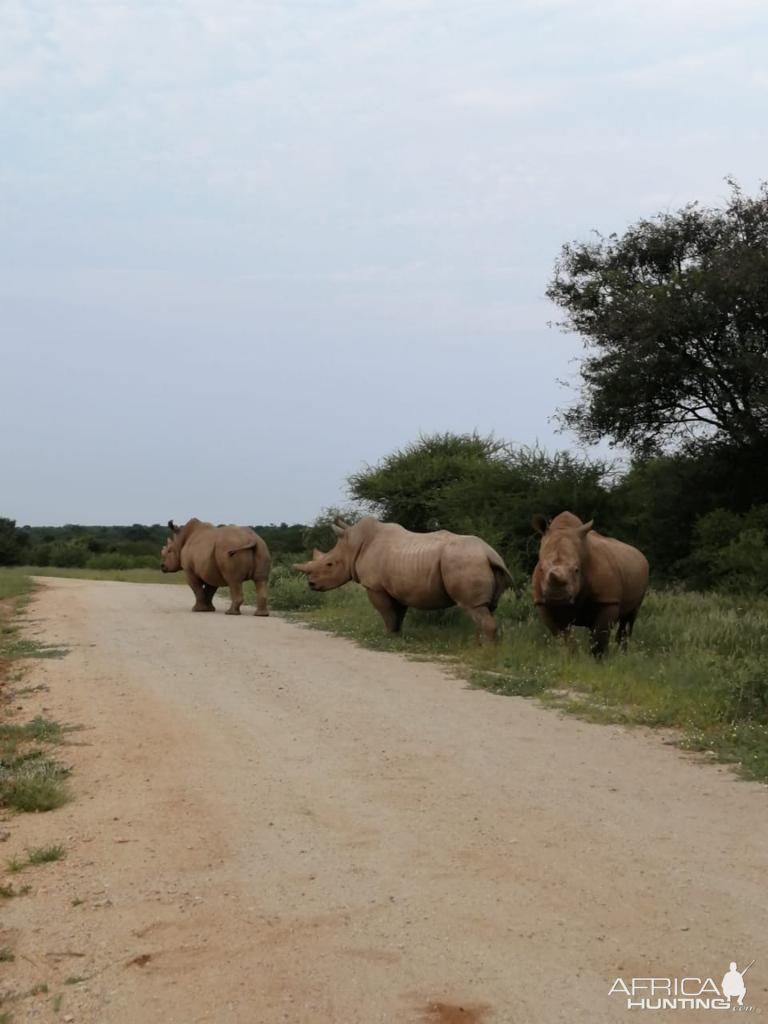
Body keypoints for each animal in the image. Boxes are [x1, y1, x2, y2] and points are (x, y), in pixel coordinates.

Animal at [290, 520, 514, 638]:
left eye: (330, 564)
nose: (311, 584)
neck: (354, 545)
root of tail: (490, 554)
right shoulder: (400, 586)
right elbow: (397, 613)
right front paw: (396, 635)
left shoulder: (375, 586)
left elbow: (386, 612)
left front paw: (387, 636)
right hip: (477, 562)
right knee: (486, 608)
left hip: (465, 561)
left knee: (473, 607)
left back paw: (485, 651)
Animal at [536, 509, 651, 655]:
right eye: (541, 569)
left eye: (576, 570)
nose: (556, 595)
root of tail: (639, 553)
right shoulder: (542, 603)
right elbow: (563, 636)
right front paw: (571, 655)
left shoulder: (608, 601)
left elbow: (600, 637)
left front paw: (598, 659)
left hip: (641, 569)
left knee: (629, 618)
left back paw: (622, 655)